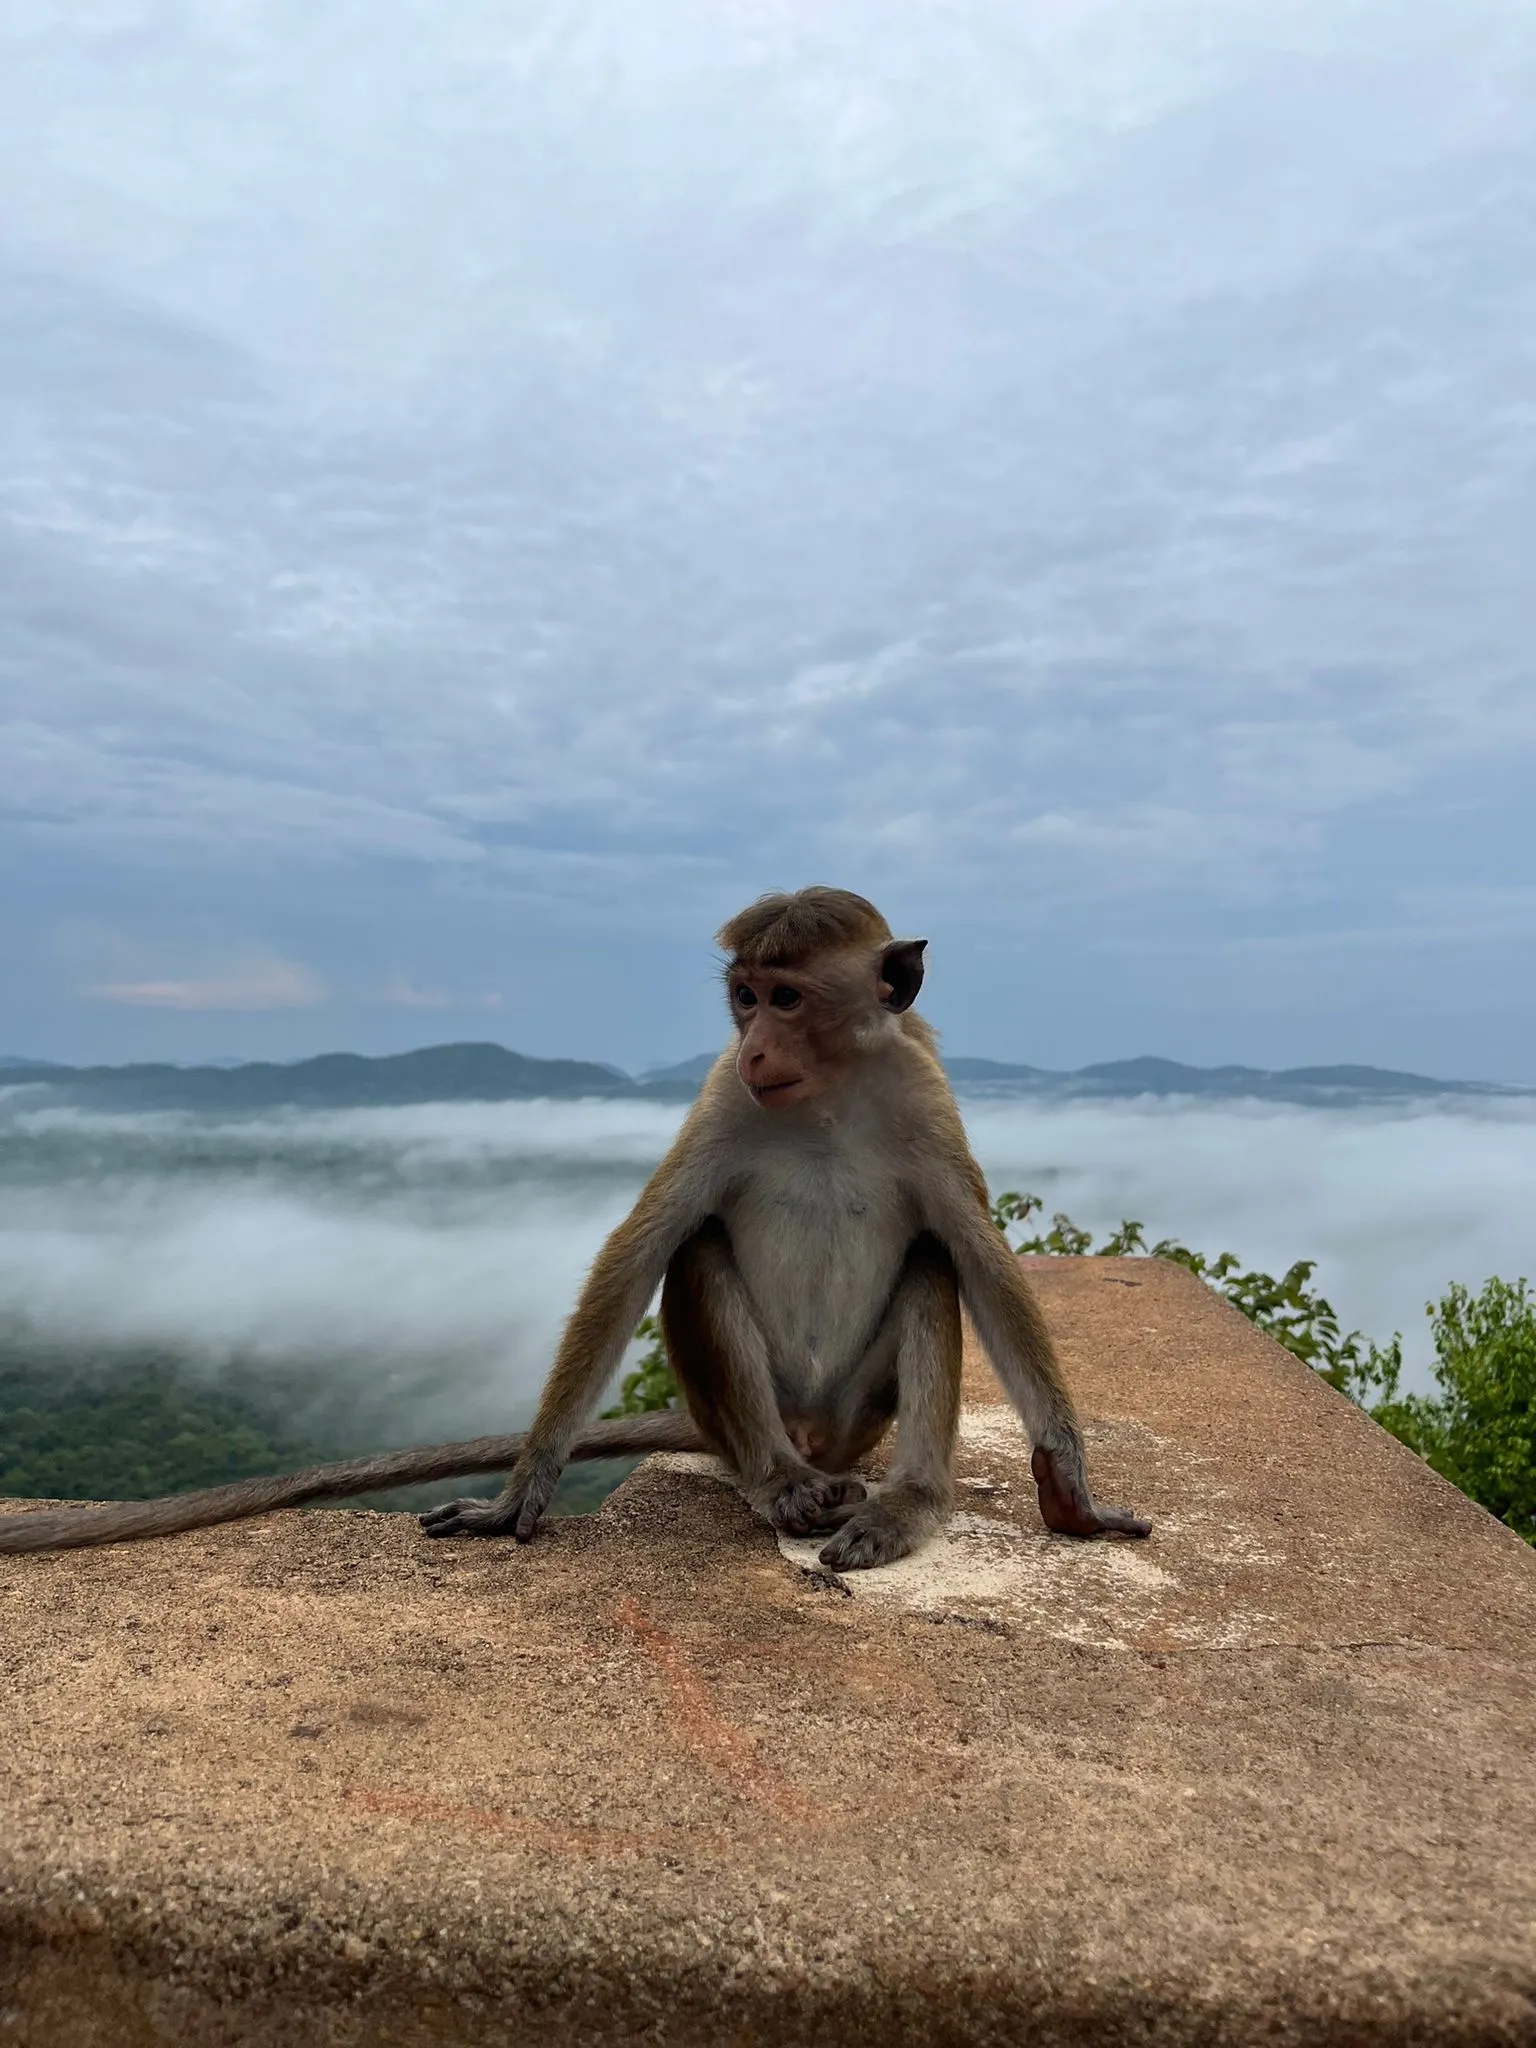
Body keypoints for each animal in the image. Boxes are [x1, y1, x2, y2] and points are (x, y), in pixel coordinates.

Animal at [0, 884, 1155, 1564]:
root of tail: (817, 1440)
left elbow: (977, 1253)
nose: (756, 1046)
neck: (826, 1097)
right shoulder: (724, 1097)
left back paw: (906, 1501)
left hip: (857, 1413)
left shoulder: (921, 1095)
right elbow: (645, 1244)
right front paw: (523, 1489)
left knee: (927, 1261)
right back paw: (782, 1486)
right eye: (744, 999)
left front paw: (1072, 1488)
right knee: (702, 1255)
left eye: (787, 996)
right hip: (754, 1414)